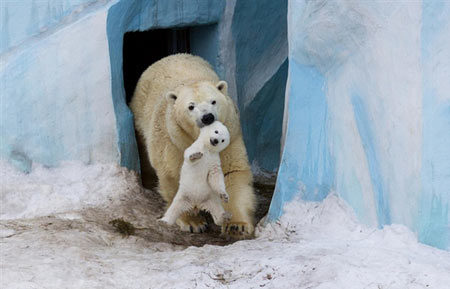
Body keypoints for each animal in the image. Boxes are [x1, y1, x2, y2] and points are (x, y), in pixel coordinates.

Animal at [130, 53, 256, 237]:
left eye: (213, 101)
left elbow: (231, 171)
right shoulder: (174, 142)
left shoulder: (230, 136)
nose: (207, 117)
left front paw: (236, 225)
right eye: (191, 106)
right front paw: (193, 222)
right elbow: (175, 176)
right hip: (140, 116)